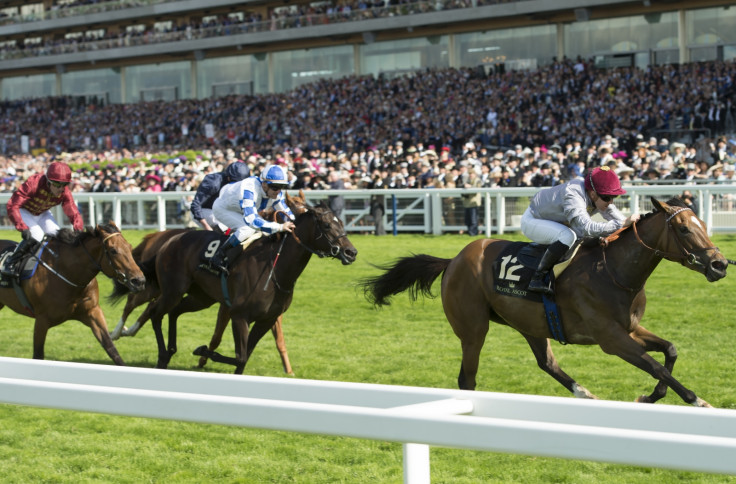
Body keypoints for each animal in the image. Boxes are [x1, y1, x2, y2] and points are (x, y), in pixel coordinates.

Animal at [0, 223, 145, 364]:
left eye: (130, 247)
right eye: (113, 251)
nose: (139, 281)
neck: (67, 272)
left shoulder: (92, 311)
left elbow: (112, 350)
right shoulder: (41, 320)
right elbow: (38, 355)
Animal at [112, 194, 360, 374]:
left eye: (341, 222)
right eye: (326, 225)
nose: (351, 252)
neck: (275, 270)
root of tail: (169, 239)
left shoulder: (266, 319)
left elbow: (244, 358)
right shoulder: (239, 315)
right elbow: (238, 355)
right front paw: (202, 351)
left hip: (201, 297)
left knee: (173, 312)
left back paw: (169, 349)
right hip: (172, 290)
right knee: (153, 312)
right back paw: (150, 348)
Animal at [360, 199, 728, 406]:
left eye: (702, 224)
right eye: (684, 229)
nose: (719, 264)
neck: (614, 272)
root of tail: (453, 260)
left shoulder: (630, 329)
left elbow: (670, 351)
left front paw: (651, 396)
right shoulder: (611, 339)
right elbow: (655, 365)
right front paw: (697, 400)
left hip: (530, 323)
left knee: (546, 363)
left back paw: (585, 394)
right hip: (473, 329)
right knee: (467, 378)